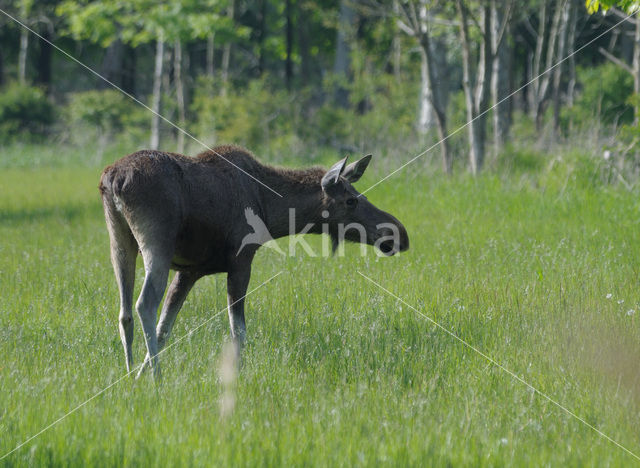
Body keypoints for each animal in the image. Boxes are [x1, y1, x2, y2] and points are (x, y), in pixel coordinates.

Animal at [100, 144, 410, 378]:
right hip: (157, 244)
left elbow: (165, 328)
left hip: (120, 242)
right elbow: (238, 330)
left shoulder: (189, 272)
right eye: (351, 200)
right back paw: (158, 377)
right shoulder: (241, 261)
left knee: (125, 312)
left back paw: (129, 372)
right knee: (144, 304)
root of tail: (113, 180)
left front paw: (139, 375)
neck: (270, 209)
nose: (398, 233)